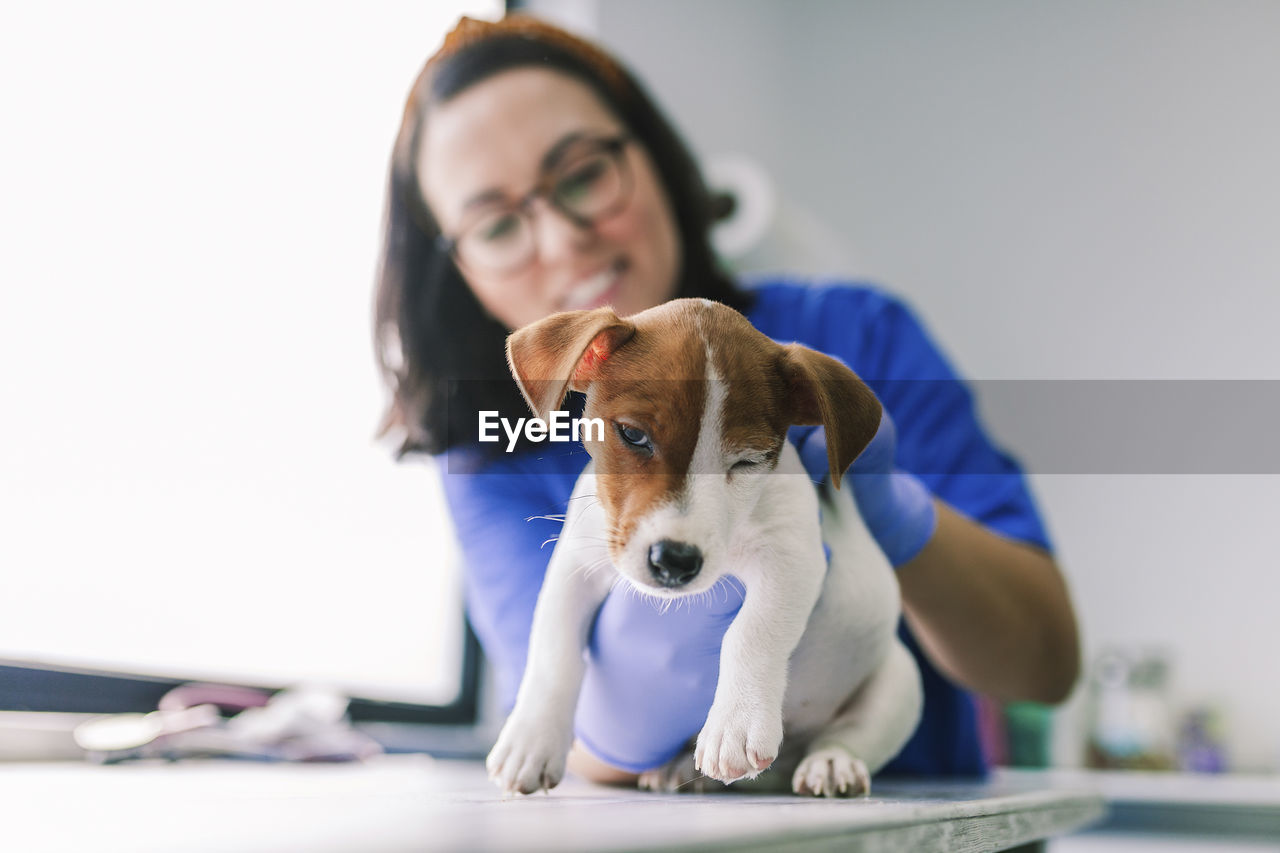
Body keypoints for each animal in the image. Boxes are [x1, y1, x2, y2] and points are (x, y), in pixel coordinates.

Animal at [486, 295, 921, 794]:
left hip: (899, 681)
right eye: (632, 434)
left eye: (747, 461)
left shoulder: (791, 556)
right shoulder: (577, 565)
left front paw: (736, 724)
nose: (674, 561)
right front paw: (531, 741)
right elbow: (553, 652)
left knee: (848, 735)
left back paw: (830, 764)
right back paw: (677, 770)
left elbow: (751, 631)